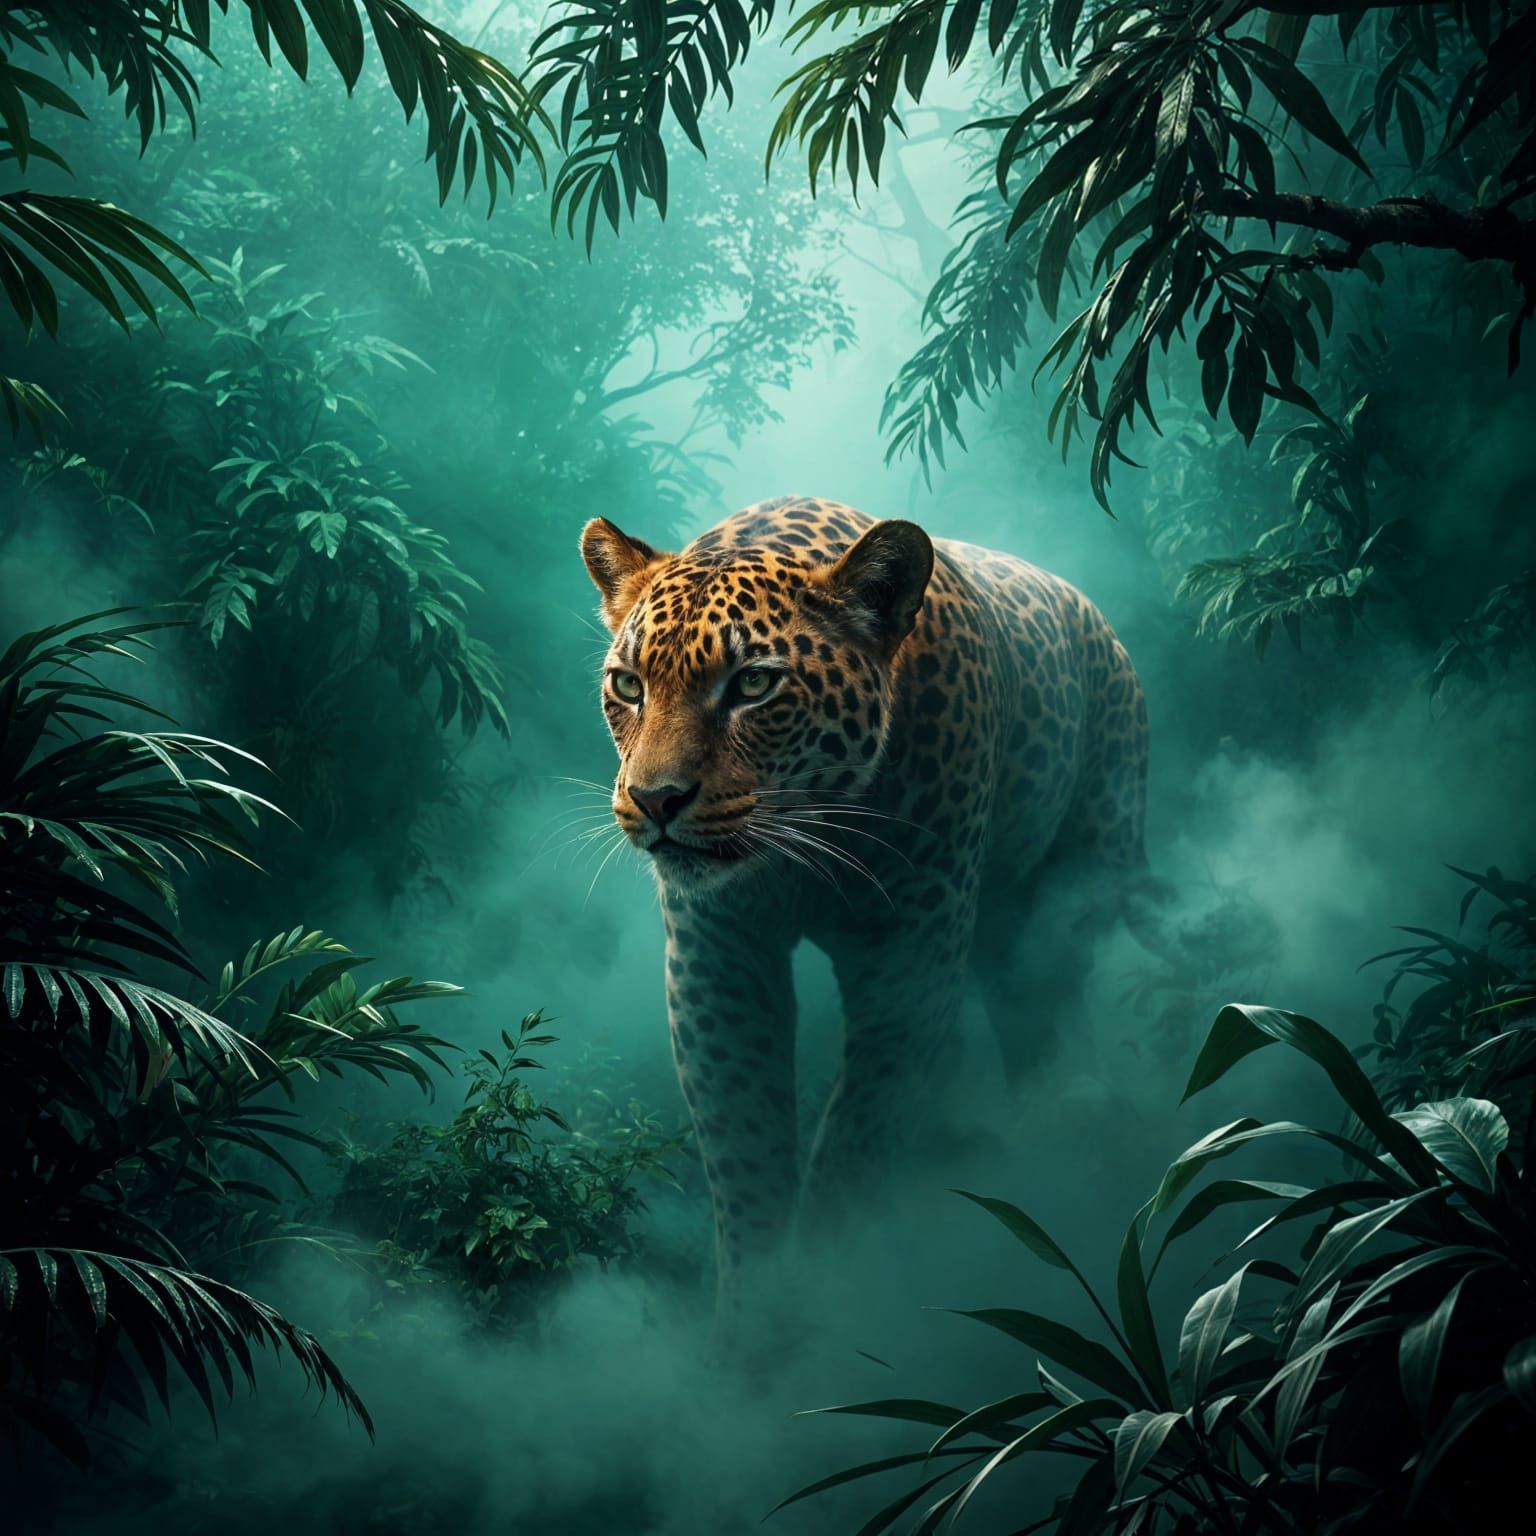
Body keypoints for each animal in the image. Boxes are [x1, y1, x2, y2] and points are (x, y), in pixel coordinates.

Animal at [579, 496, 1154, 1321]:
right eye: (628, 685)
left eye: (752, 685)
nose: (655, 800)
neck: (808, 848)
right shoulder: (718, 957)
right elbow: (745, 1147)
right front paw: (754, 1316)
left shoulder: (912, 965)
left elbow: (855, 1142)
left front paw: (824, 1295)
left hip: (1089, 860)